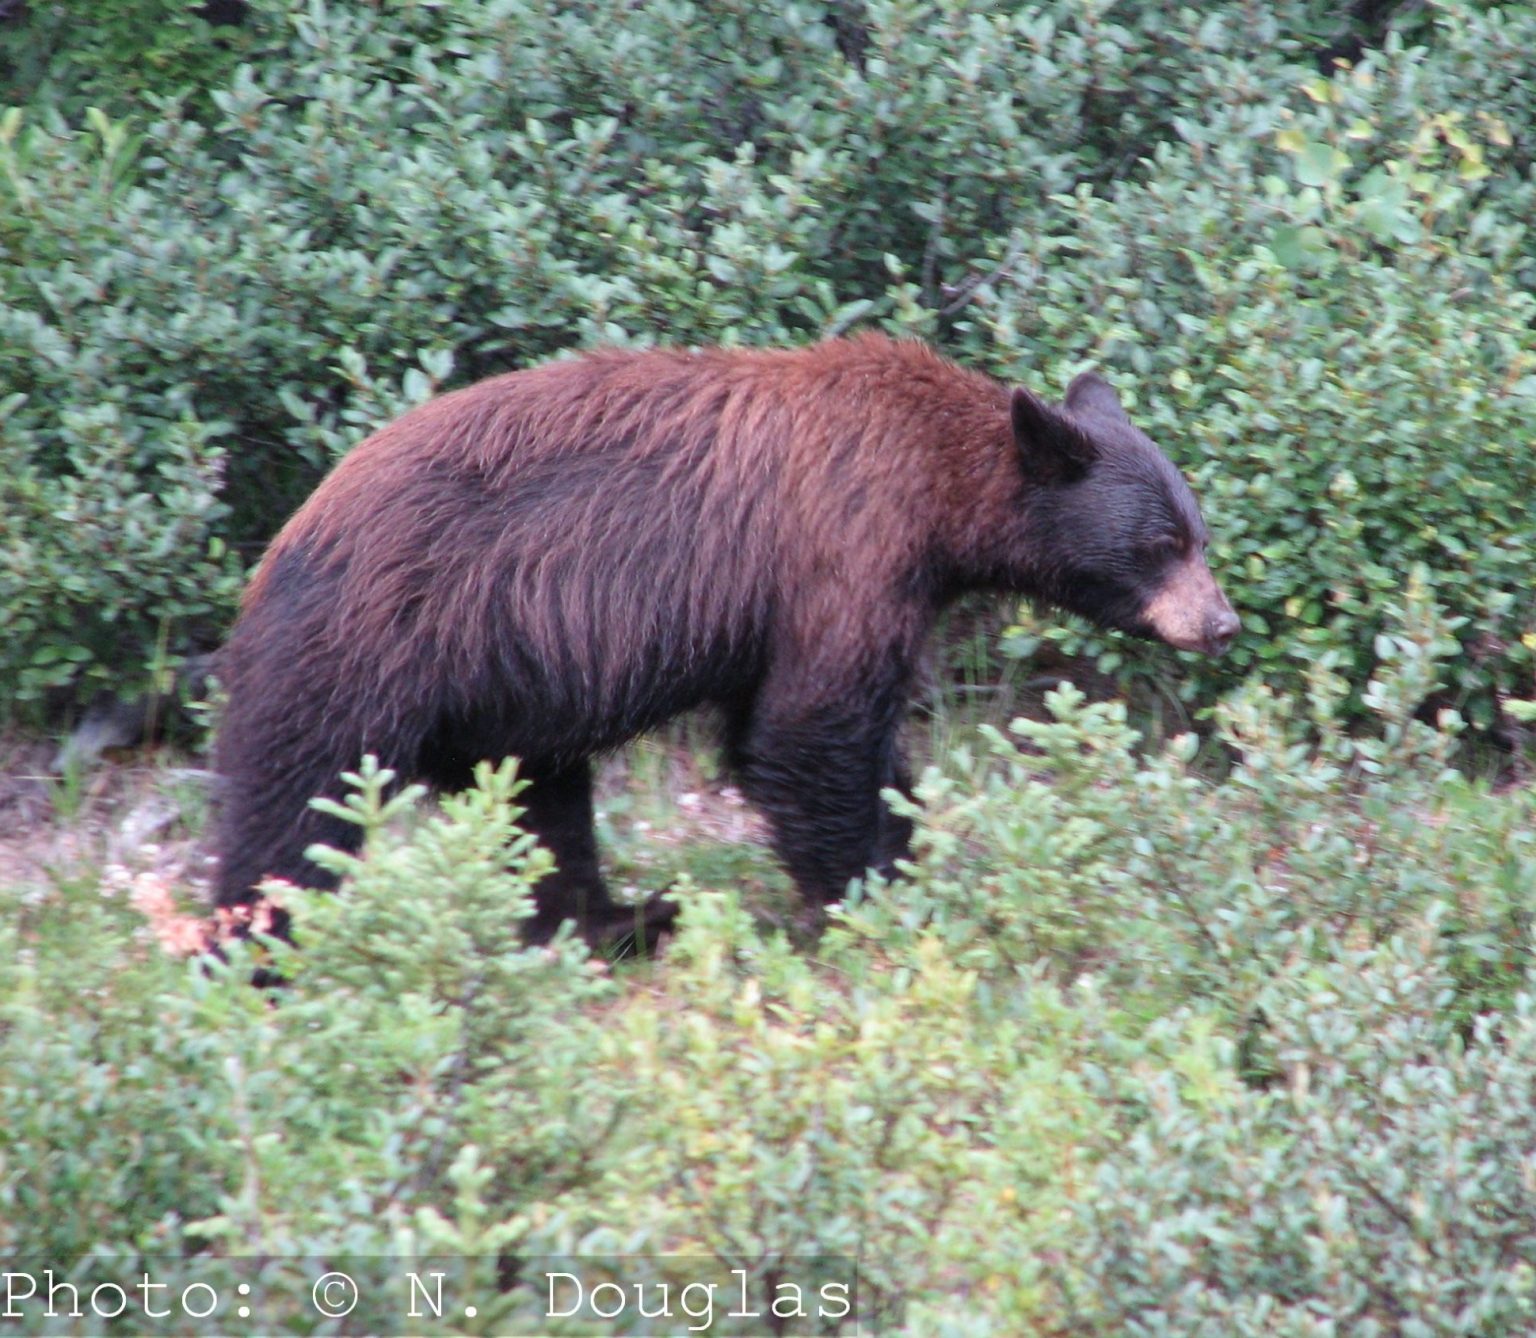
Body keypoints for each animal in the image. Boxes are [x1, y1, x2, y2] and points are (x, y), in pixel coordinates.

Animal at [213, 331, 1234, 940]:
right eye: (1159, 545)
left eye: (1199, 533)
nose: (1220, 623)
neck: (933, 482)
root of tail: (280, 547)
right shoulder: (844, 549)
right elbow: (812, 726)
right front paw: (866, 893)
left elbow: (781, 730)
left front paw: (907, 848)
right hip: (367, 647)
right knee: (294, 804)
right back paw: (264, 951)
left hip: (500, 692)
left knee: (541, 804)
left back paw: (616, 921)